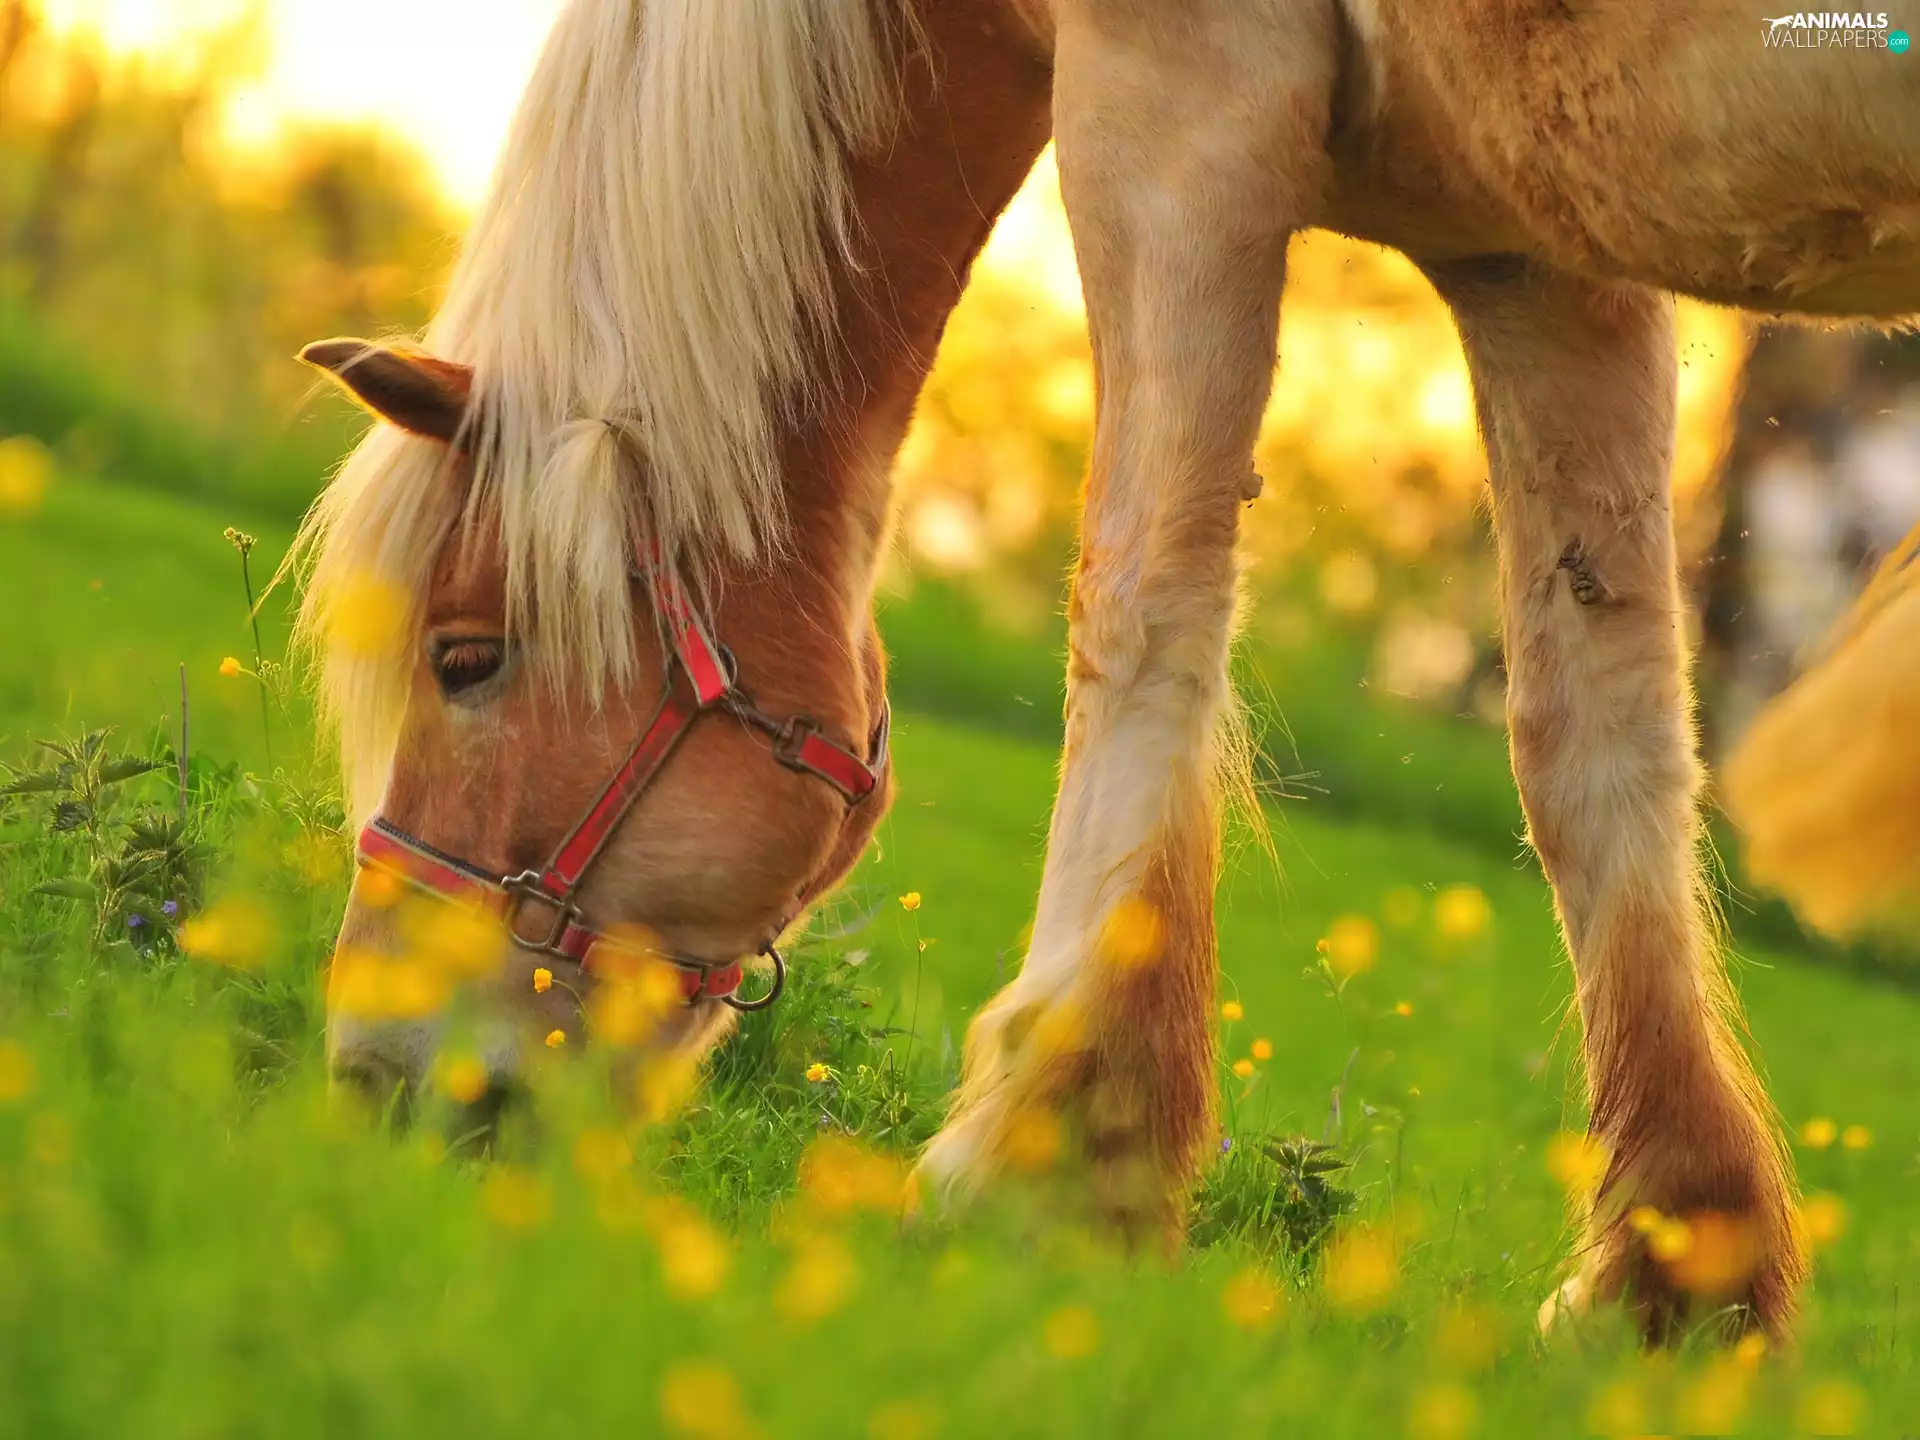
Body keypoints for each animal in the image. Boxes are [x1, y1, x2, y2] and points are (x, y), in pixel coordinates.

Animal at [293, 0, 1919, 1343]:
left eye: (466, 657)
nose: (374, 1074)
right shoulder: (1539, 245)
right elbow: (1598, 731)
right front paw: (1675, 1273)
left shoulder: (1178, 98)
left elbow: (1143, 593)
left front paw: (1055, 1155)